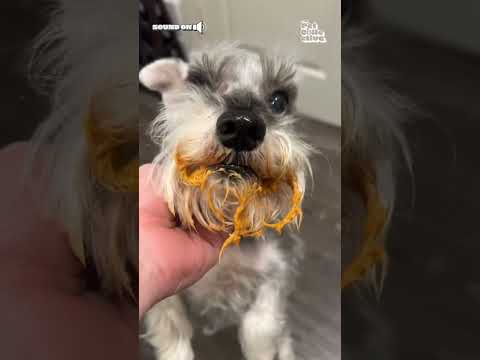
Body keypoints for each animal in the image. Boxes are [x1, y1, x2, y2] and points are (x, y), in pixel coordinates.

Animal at [139, 45, 314, 360]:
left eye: (279, 100)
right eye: (199, 82)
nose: (243, 126)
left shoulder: (277, 270)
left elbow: (261, 325)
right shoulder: (167, 290)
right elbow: (170, 323)